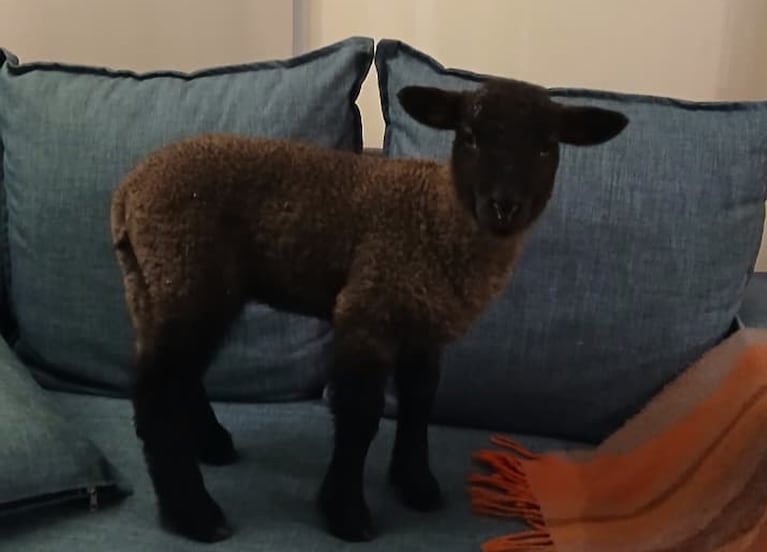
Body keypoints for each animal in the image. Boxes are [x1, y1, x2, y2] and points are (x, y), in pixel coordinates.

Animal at [109, 76, 628, 543]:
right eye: (469, 136)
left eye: (547, 147)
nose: (504, 206)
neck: (439, 217)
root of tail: (130, 189)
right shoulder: (369, 309)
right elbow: (360, 415)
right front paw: (345, 512)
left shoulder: (424, 326)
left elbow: (419, 401)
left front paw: (415, 483)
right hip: (187, 268)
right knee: (156, 392)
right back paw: (194, 514)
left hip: (155, 283)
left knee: (174, 373)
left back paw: (211, 446)